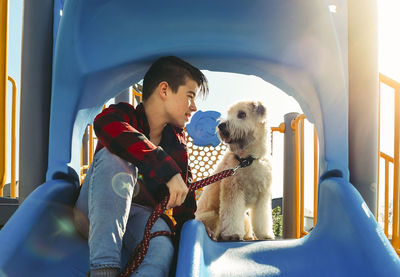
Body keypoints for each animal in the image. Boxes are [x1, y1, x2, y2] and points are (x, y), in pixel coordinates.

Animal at [195, 101, 276, 239]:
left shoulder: (263, 196)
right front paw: (232, 234)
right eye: (229, 113)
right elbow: (232, 216)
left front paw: (264, 234)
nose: (221, 126)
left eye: (242, 114)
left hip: (245, 219)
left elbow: (262, 217)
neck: (248, 159)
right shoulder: (233, 191)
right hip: (213, 216)